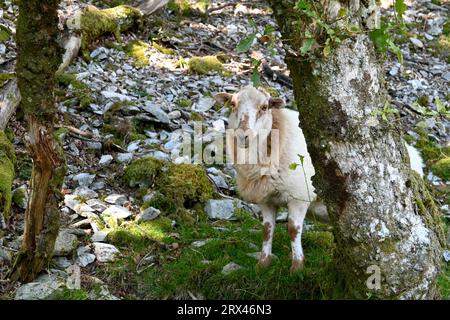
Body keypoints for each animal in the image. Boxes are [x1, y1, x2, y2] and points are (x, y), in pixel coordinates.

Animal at [214, 85, 320, 272]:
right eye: (233, 104)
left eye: (264, 107)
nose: (243, 135)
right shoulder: (266, 200)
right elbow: (267, 230)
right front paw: (263, 264)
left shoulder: (300, 197)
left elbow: (293, 229)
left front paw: (297, 267)